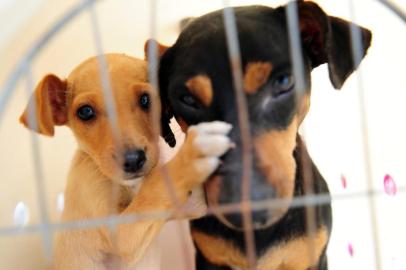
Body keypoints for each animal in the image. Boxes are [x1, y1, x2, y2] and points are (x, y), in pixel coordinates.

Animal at [20, 53, 232, 268]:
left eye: (146, 99)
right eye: (85, 112)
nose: (133, 160)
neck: (132, 186)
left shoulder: (191, 205)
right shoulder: (118, 231)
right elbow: (154, 187)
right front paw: (193, 154)